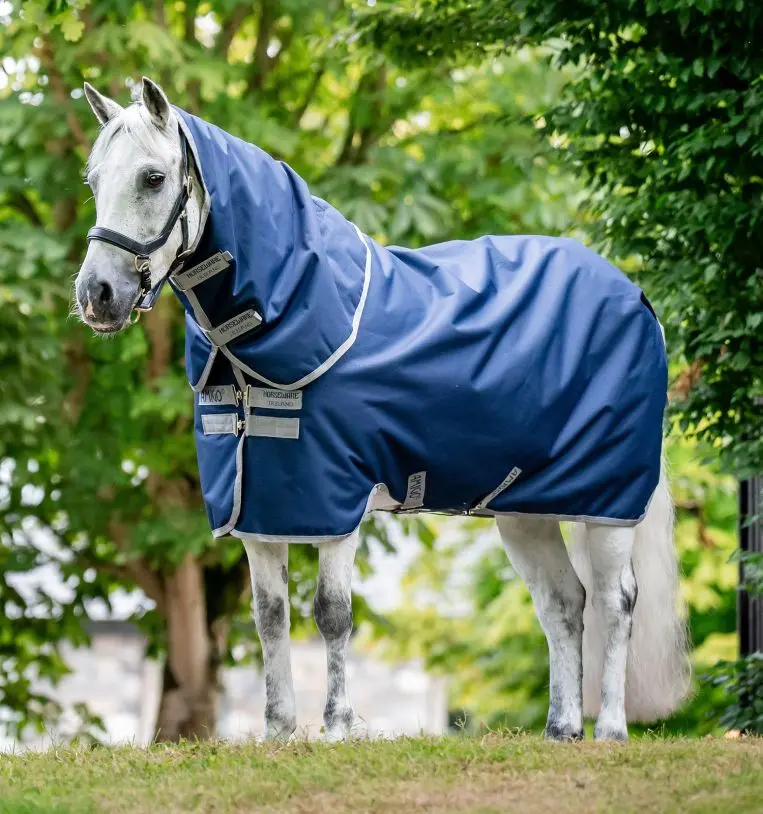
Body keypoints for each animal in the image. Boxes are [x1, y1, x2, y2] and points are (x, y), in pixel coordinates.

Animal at [74, 77, 690, 742]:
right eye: (94, 180)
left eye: (153, 178)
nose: (97, 295)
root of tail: (636, 298)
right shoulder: (261, 507)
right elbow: (269, 616)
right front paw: (279, 732)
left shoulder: (337, 502)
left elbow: (331, 613)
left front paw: (338, 727)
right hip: (524, 510)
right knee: (562, 603)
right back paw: (561, 729)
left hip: (609, 503)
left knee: (614, 602)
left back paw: (611, 731)